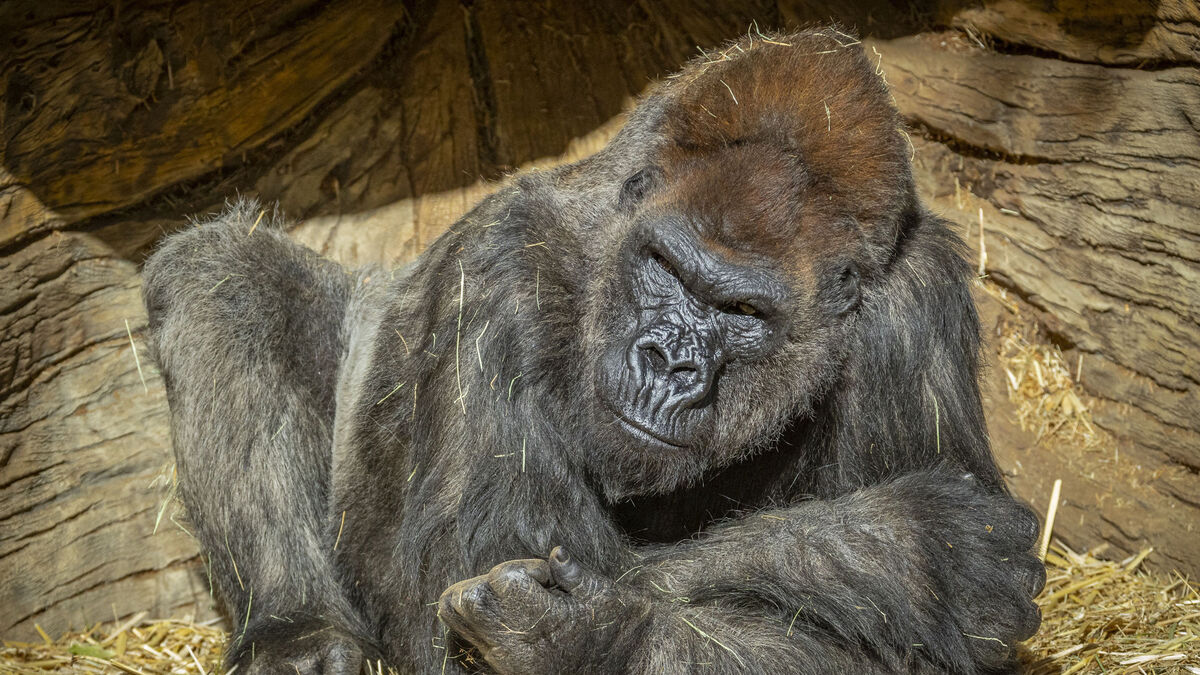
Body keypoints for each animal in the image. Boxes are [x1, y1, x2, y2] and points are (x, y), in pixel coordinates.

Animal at [143, 28, 1043, 674]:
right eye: (666, 269)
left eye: (742, 310)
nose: (667, 362)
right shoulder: (500, 269)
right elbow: (459, 607)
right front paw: (912, 548)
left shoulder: (914, 306)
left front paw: (587, 637)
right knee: (223, 275)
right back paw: (296, 632)